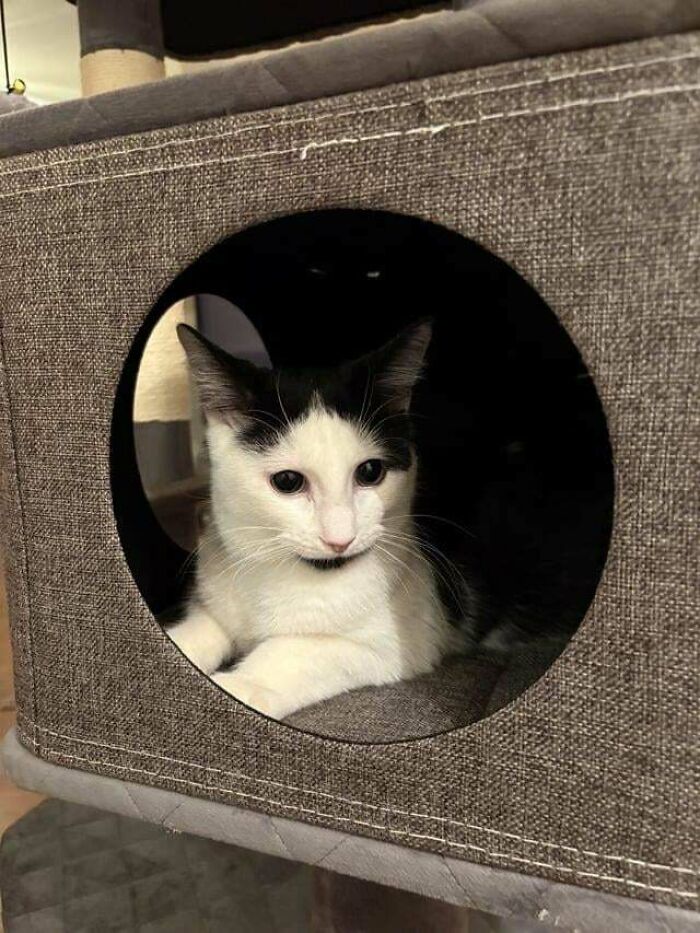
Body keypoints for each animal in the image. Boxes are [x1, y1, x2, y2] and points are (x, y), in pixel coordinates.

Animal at [166, 322, 468, 720]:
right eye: (288, 481)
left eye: (370, 472)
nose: (340, 539)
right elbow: (203, 628)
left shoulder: (404, 639)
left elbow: (300, 650)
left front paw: (240, 685)